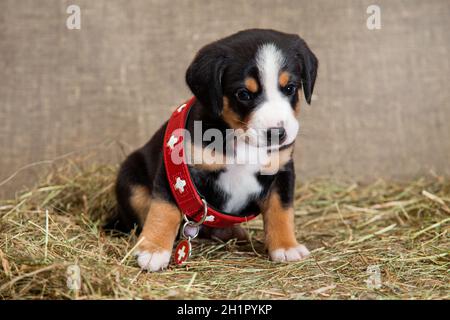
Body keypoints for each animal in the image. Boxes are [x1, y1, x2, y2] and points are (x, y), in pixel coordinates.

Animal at [108, 28, 318, 272]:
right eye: (243, 94)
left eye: (290, 88)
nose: (277, 133)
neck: (241, 139)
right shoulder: (177, 172)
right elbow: (164, 210)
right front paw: (153, 250)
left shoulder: (281, 171)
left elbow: (281, 211)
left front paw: (286, 246)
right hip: (131, 178)